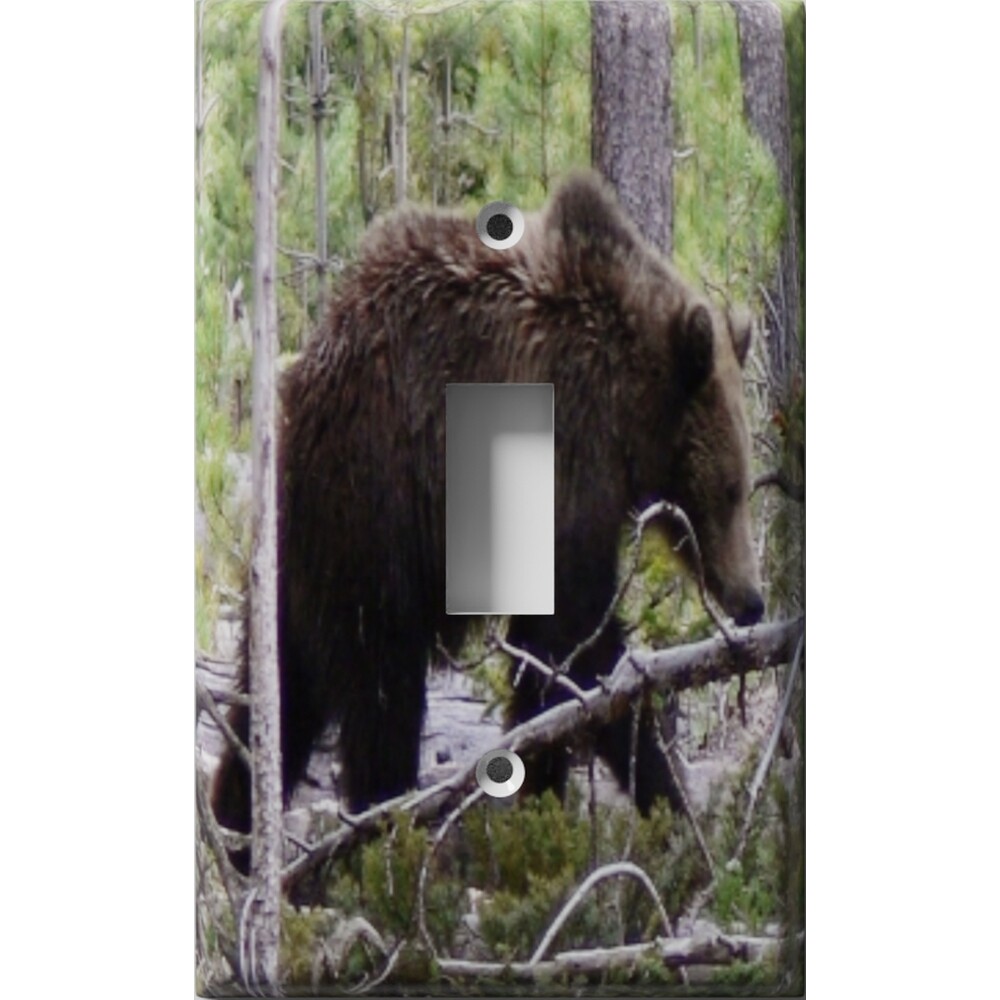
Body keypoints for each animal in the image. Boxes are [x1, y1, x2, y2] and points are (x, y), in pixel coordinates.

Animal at [211, 171, 763, 863]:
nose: (752, 599)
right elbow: (576, 639)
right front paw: (661, 793)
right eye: (731, 489)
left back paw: (236, 836)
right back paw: (379, 829)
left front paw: (548, 789)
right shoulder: (567, 460)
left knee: (280, 688)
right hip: (374, 520)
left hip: (301, 553)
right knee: (381, 694)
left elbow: (548, 652)